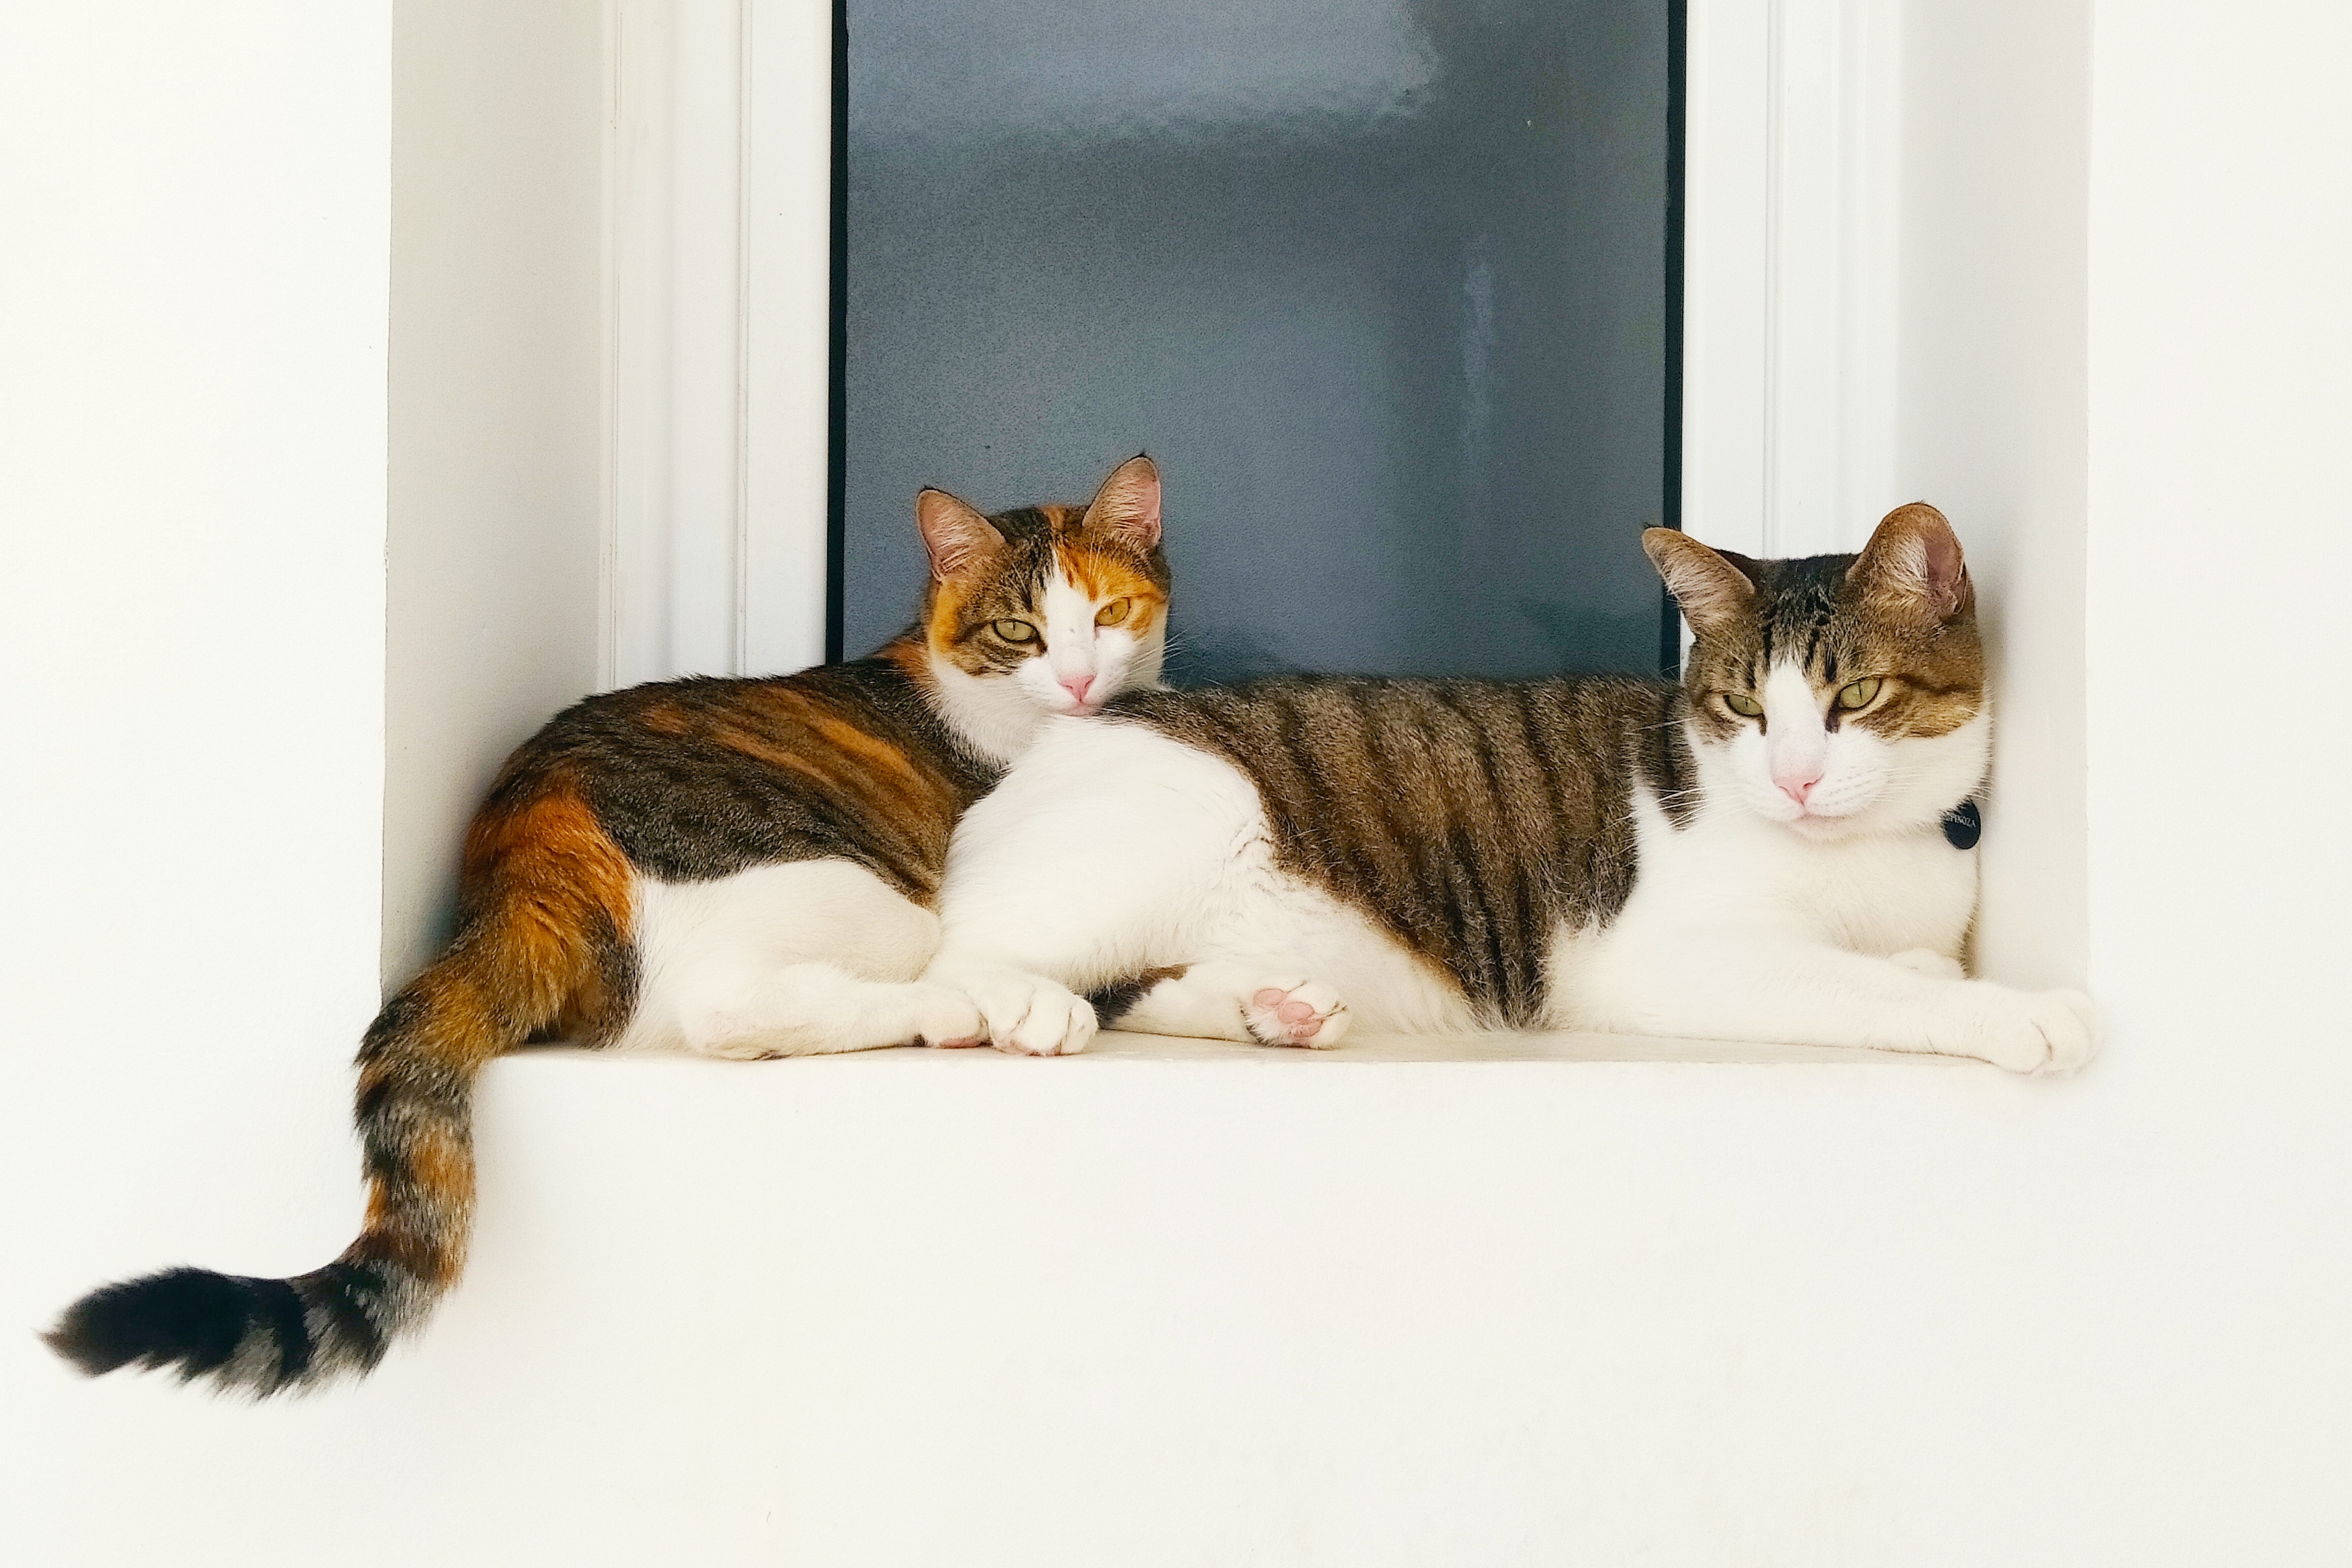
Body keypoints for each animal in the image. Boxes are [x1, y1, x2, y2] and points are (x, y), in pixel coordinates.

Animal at [59, 451, 1176, 1382]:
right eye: (1019, 631)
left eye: (1112, 612)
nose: (1081, 682)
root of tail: (520, 871)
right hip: (856, 897)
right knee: (741, 1006)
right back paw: (975, 1012)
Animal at [912, 510, 2098, 1071]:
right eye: (1744, 707)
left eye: (1851, 697)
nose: (1795, 776)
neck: (1867, 851)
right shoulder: (1666, 959)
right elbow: (1884, 989)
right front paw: (2017, 1010)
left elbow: (1898, 965)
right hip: (1167, 829)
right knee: (951, 965)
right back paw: (1019, 1004)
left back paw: (1270, 1006)